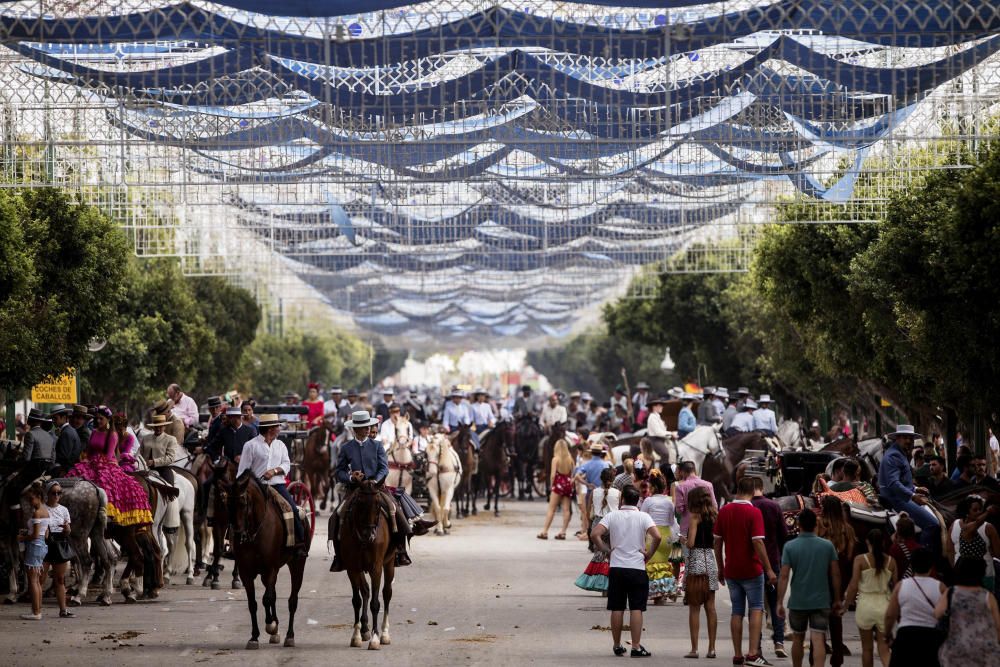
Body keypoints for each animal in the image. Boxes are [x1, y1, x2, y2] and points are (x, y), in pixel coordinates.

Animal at [230, 472, 308, 648]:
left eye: (243, 503)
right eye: (227, 502)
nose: (237, 535)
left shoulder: (271, 568)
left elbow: (266, 599)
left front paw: (270, 625)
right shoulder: (246, 572)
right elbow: (253, 603)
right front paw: (254, 636)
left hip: (297, 564)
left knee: (292, 600)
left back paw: (289, 636)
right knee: (273, 594)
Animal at [336, 480, 398, 652]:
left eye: (378, 504)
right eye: (360, 503)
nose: (369, 535)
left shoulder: (376, 568)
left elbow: (375, 603)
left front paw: (375, 638)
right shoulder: (352, 568)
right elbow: (357, 599)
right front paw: (356, 636)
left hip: (389, 564)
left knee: (387, 593)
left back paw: (384, 634)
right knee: (365, 591)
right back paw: (364, 630)